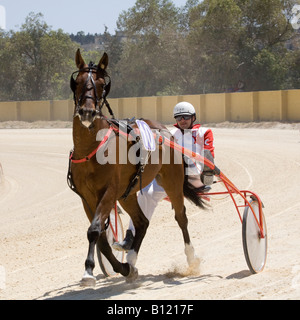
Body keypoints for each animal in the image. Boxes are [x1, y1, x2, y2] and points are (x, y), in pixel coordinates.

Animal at [68, 49, 204, 284]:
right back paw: (130, 261)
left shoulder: (109, 191)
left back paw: (191, 258)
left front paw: (88, 270)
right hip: (128, 193)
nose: (87, 112)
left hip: (172, 182)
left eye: (102, 84)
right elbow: (101, 237)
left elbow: (94, 230)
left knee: (181, 217)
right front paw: (122, 267)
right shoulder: (87, 197)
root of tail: (164, 130)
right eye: (78, 82)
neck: (91, 150)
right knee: (142, 222)